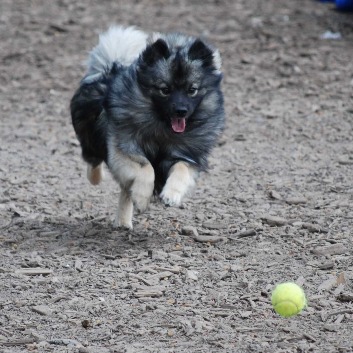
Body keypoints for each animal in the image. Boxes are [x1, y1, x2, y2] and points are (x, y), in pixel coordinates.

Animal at [70, 25, 224, 228]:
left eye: (192, 90)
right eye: (165, 90)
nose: (181, 111)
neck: (163, 128)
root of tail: (110, 68)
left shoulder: (187, 156)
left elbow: (181, 169)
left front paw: (171, 195)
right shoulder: (124, 148)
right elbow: (146, 168)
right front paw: (143, 198)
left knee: (125, 189)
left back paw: (123, 222)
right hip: (90, 137)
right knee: (94, 161)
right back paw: (97, 179)